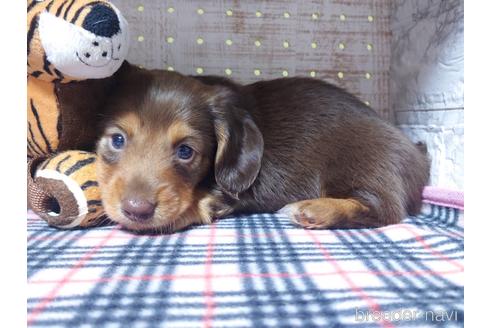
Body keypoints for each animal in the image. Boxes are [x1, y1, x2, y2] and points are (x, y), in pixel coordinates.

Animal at [95, 64, 426, 232]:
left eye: (186, 151)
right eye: (117, 140)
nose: (136, 211)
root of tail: (417, 153)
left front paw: (202, 205)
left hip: (362, 164)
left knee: (384, 210)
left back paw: (313, 210)